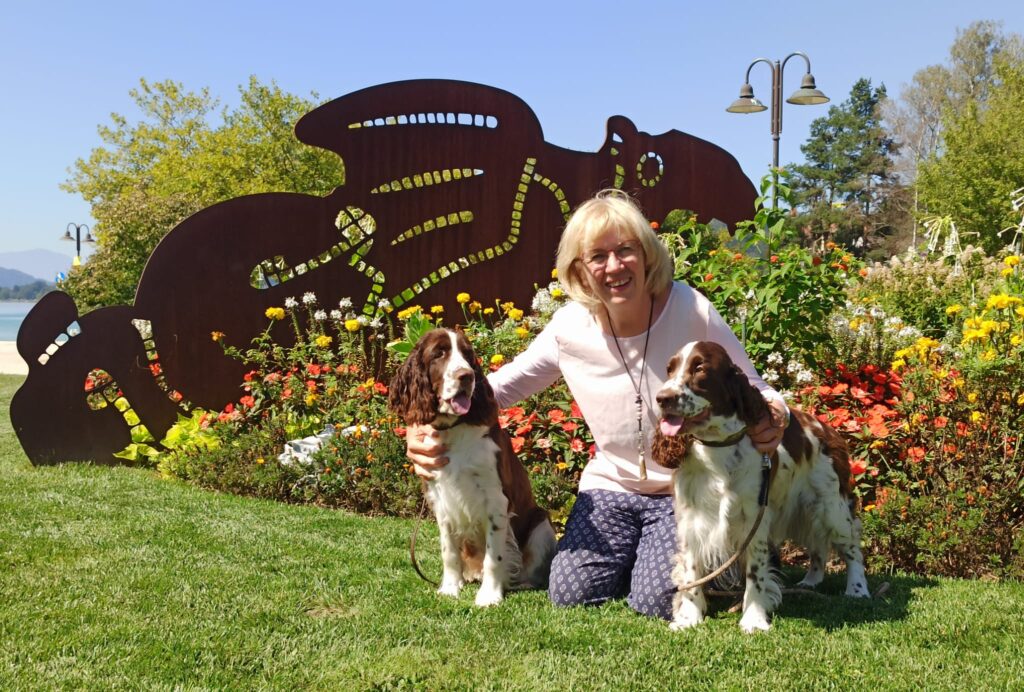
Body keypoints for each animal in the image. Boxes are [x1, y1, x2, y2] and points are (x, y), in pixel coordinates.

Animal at [387, 329, 557, 606]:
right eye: (439, 353)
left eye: (468, 355)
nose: (466, 376)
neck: (453, 431)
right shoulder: (440, 499)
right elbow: (448, 551)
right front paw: (450, 588)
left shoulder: (496, 500)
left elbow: (493, 556)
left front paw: (489, 595)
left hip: (541, 524)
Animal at [651, 339, 868, 630]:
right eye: (670, 369)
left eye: (699, 368)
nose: (662, 398)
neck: (717, 447)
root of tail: (827, 428)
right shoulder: (691, 518)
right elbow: (691, 572)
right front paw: (688, 618)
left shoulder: (754, 517)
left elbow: (755, 574)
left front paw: (753, 619)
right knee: (818, 546)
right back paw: (810, 581)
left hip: (832, 506)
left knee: (852, 546)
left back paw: (857, 590)